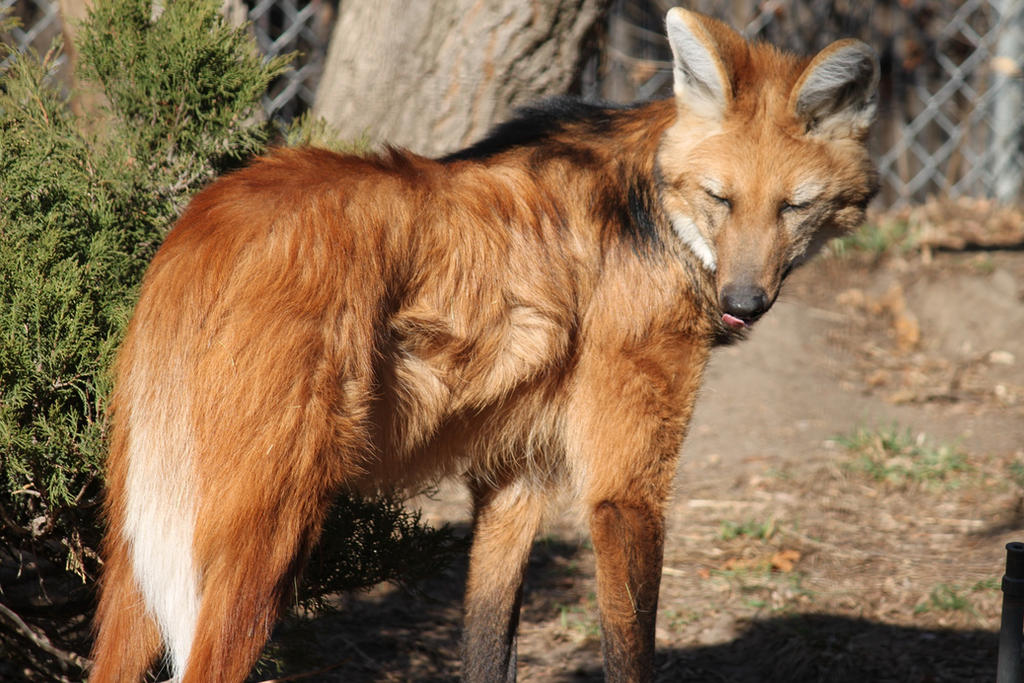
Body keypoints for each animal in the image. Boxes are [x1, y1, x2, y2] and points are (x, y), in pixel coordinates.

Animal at [90, 6, 880, 683]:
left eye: (794, 208)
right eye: (721, 199)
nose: (743, 303)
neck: (653, 212)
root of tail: (205, 222)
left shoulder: (514, 473)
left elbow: (487, 641)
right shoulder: (624, 491)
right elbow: (628, 646)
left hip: (145, 531)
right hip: (267, 528)